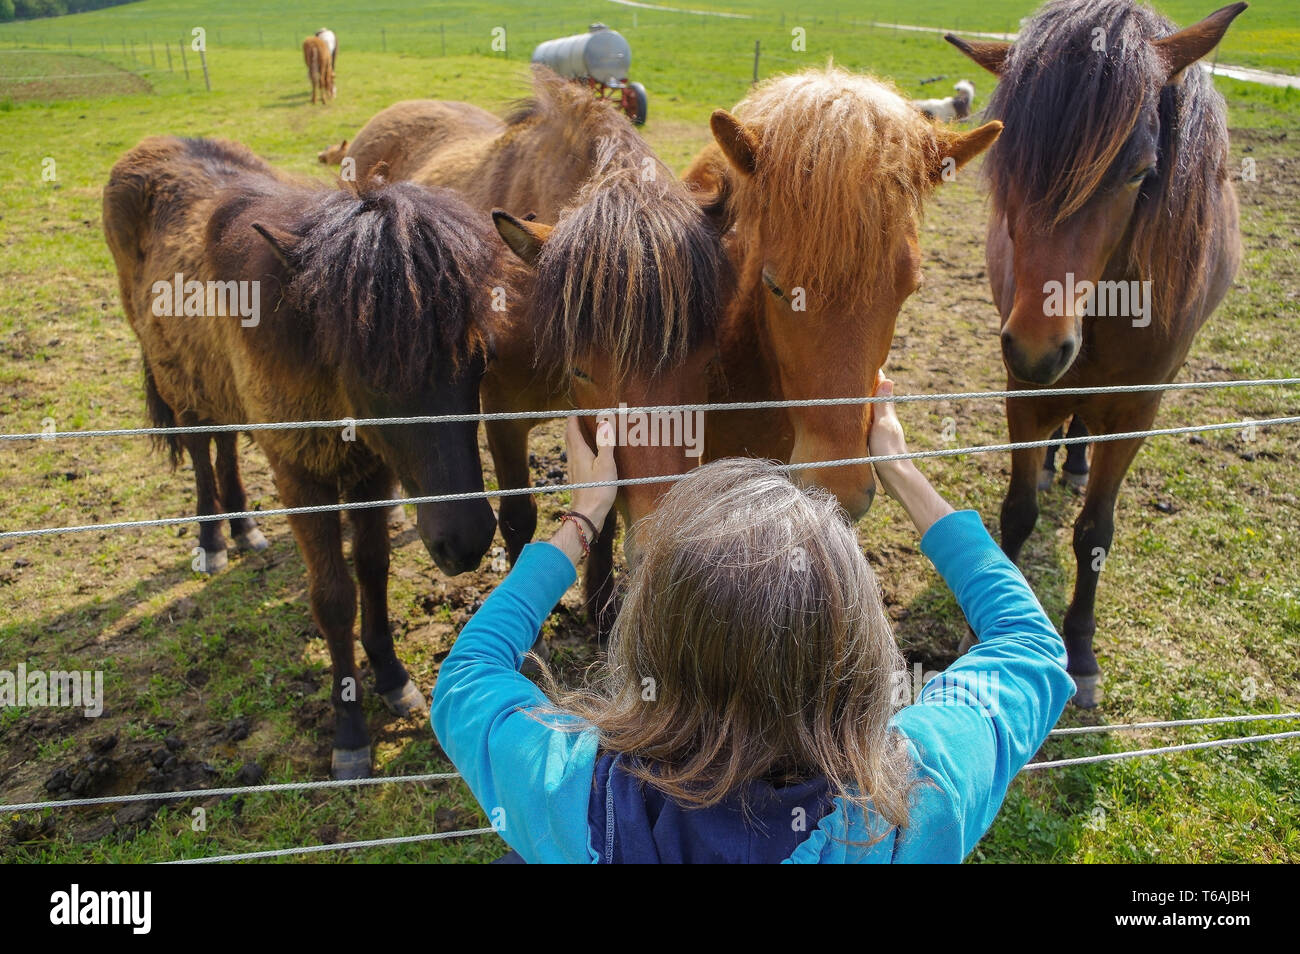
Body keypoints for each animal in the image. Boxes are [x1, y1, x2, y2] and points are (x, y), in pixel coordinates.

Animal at [101, 136, 501, 779]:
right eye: (372, 375)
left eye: (480, 359)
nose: (463, 543)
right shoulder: (300, 476)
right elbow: (333, 597)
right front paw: (349, 730)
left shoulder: (371, 472)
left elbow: (374, 570)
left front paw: (392, 678)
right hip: (181, 384)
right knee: (201, 448)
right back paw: (212, 540)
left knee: (225, 444)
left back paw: (244, 529)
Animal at [345, 70, 733, 631]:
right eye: (583, 370)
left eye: (707, 360)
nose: (663, 544)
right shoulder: (502, 418)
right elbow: (517, 520)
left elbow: (604, 513)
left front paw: (601, 609)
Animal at [946, 0, 1248, 701]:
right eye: (1008, 168)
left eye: (1141, 172)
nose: (1037, 347)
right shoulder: (1023, 393)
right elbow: (1017, 514)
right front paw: (985, 638)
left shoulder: (1136, 412)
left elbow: (1095, 534)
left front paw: (1080, 651)